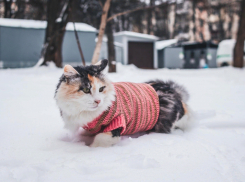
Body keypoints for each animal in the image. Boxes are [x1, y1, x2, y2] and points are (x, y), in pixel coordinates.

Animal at [54, 59, 192, 147]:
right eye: (86, 90)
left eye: (101, 89)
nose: (98, 101)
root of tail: (172, 90)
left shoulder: (117, 122)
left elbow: (100, 139)